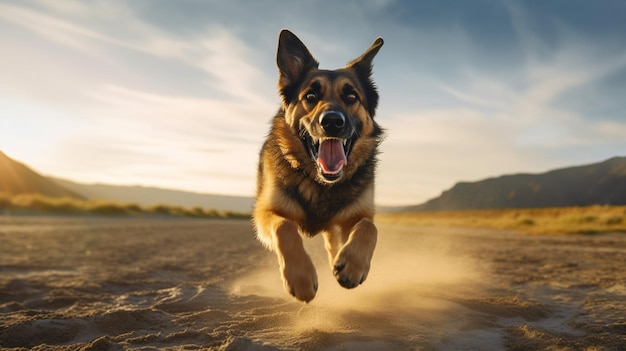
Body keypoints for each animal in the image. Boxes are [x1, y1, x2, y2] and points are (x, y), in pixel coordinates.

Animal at [252, 29, 380, 302]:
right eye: (310, 96)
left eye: (351, 96)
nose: (332, 122)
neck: (319, 182)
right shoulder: (266, 212)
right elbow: (285, 227)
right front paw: (300, 278)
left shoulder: (355, 216)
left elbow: (369, 227)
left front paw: (353, 265)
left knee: (335, 245)